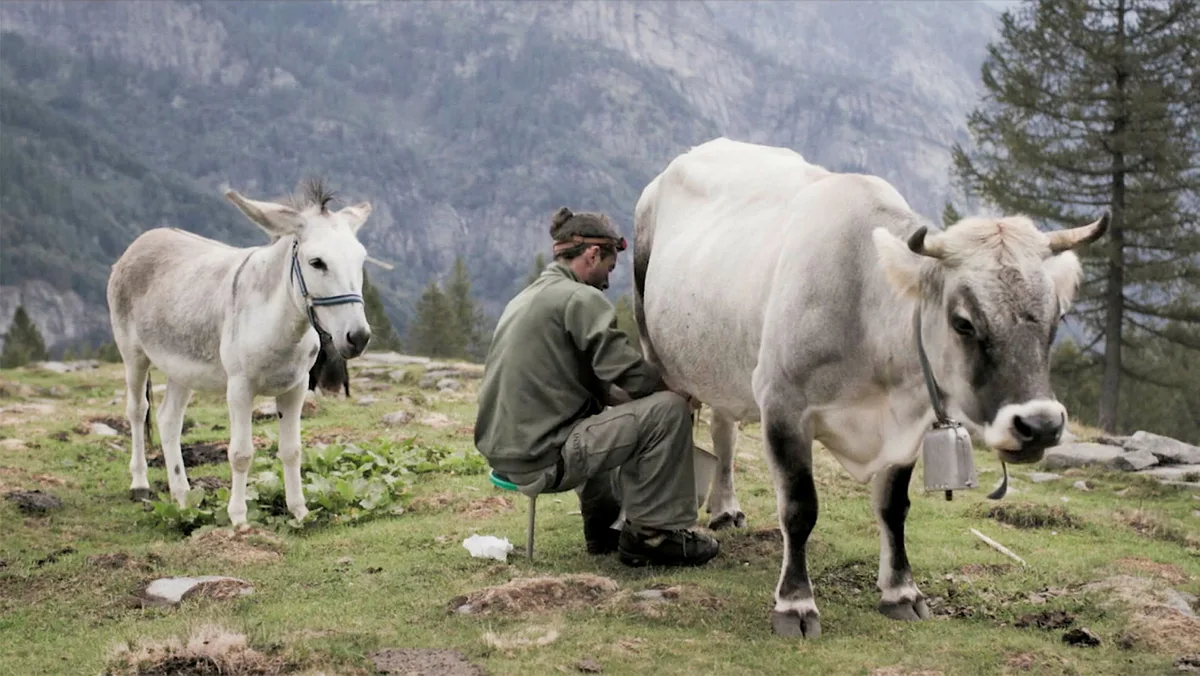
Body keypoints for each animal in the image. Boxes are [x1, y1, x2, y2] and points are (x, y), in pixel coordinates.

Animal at [632, 137, 1107, 638]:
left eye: (1057, 319)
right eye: (963, 322)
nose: (1040, 426)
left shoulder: (908, 422)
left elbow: (893, 507)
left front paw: (902, 592)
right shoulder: (784, 404)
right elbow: (799, 508)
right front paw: (795, 603)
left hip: (726, 362)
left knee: (723, 428)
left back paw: (724, 508)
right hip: (657, 352)